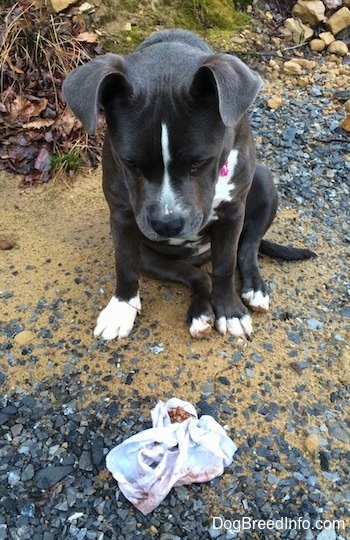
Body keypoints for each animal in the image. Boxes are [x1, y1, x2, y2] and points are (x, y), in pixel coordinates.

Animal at [62, 28, 314, 338]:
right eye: (131, 164)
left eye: (199, 162)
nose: (167, 224)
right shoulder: (121, 215)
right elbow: (125, 264)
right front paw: (121, 308)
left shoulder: (232, 214)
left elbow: (225, 266)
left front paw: (230, 312)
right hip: (155, 258)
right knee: (198, 277)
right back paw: (200, 313)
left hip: (265, 181)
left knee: (247, 248)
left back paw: (253, 288)